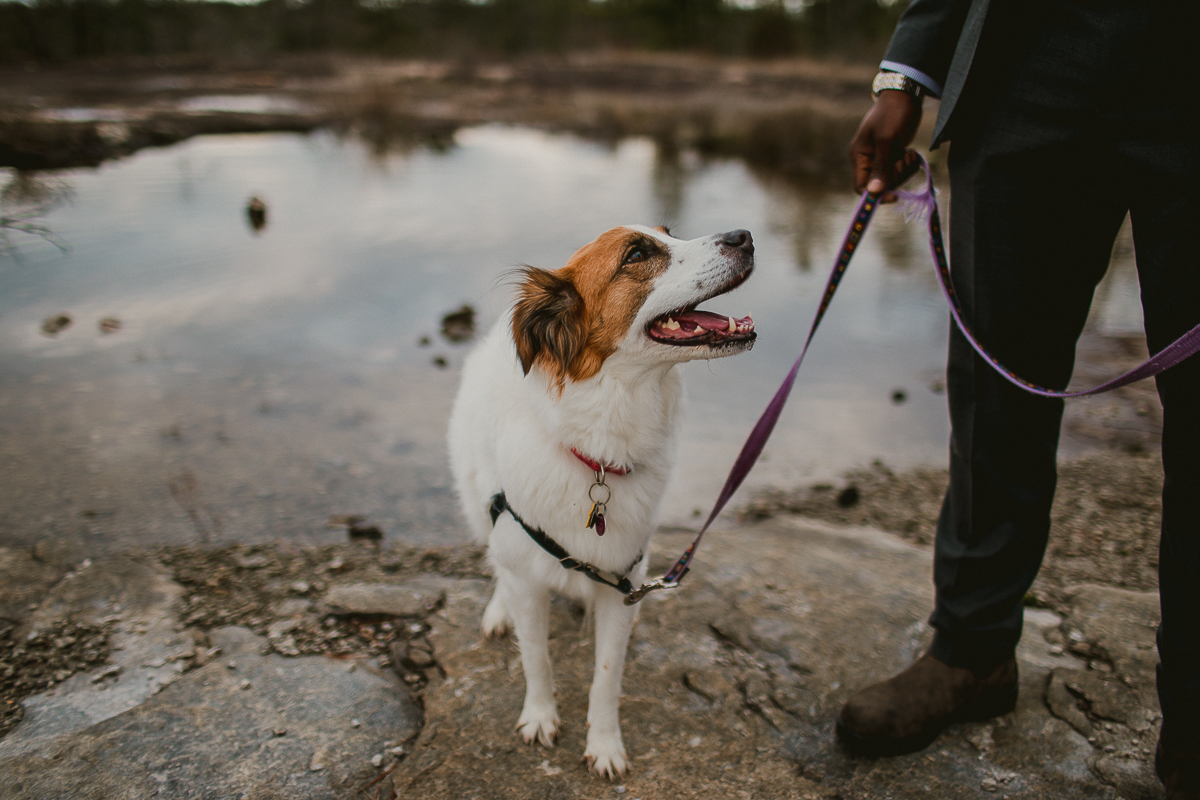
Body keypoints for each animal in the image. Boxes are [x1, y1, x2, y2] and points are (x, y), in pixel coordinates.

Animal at [446, 224, 753, 777]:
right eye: (637, 254)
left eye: (671, 232)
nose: (744, 235)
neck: (601, 454)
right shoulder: (529, 578)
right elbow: (536, 657)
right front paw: (540, 716)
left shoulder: (624, 582)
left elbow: (608, 674)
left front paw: (606, 744)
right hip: (480, 502)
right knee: (496, 556)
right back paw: (499, 610)